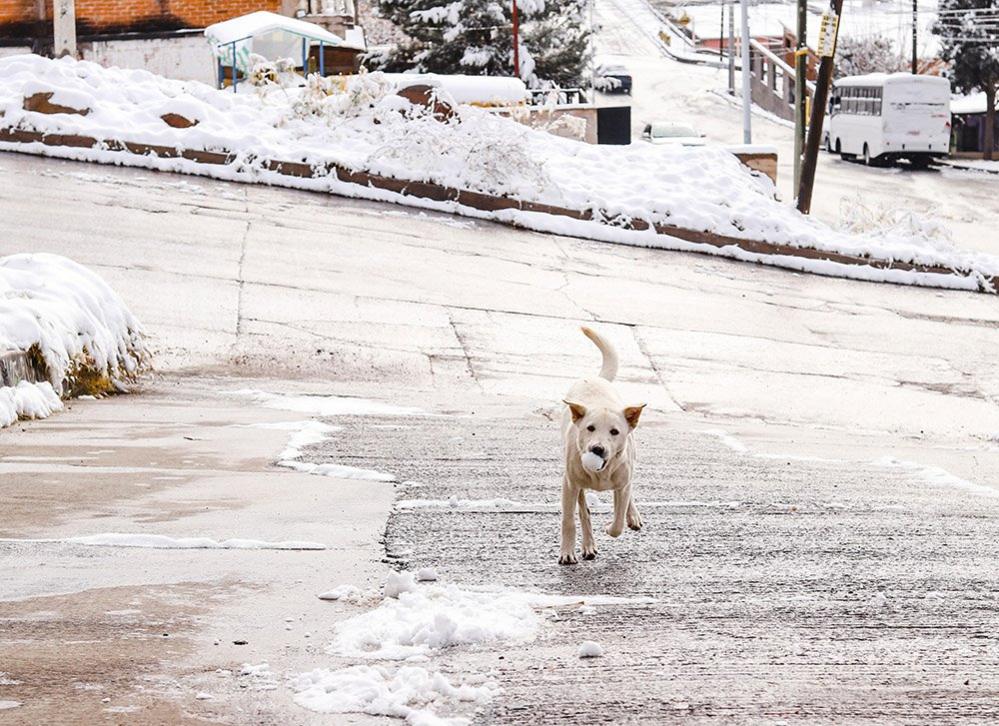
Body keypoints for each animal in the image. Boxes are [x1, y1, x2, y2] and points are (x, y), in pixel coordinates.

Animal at [560, 326, 644, 568]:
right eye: (590, 428)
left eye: (614, 432)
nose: (598, 449)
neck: (601, 473)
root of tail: (596, 379)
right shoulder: (569, 484)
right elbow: (569, 519)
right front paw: (567, 552)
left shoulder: (622, 484)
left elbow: (618, 523)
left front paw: (613, 526)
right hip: (576, 484)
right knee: (583, 511)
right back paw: (588, 545)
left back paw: (632, 516)